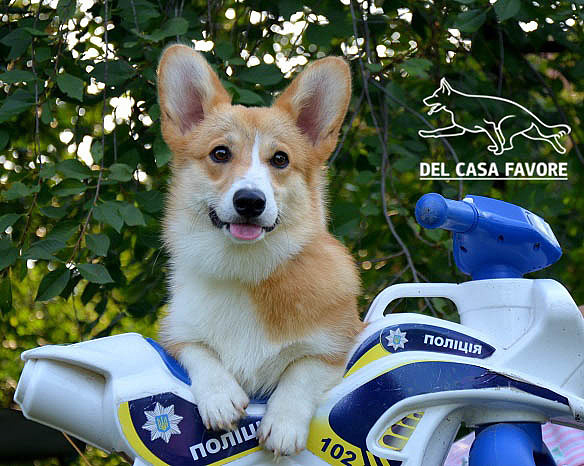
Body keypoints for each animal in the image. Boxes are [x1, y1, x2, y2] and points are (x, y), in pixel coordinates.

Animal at [156, 44, 363, 456]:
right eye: (220, 153)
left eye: (280, 159)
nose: (250, 201)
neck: (243, 271)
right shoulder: (175, 331)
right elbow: (200, 351)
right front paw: (220, 397)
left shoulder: (338, 344)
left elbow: (300, 372)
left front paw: (283, 425)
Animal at [418, 78, 571, 155]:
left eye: (435, 95)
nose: (425, 101)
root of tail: (529, 112)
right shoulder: (461, 129)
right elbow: (438, 130)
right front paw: (426, 133)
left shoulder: (486, 128)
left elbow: (495, 141)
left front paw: (498, 150)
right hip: (531, 133)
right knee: (548, 137)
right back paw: (559, 148)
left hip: (505, 126)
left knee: (509, 143)